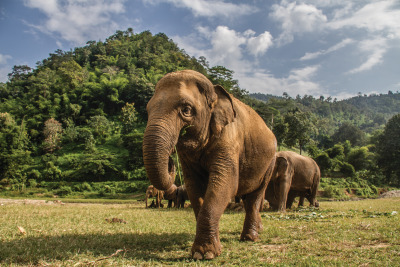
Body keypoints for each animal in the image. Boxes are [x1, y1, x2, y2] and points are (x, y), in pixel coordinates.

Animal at [142, 70, 276, 260]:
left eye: (186, 109)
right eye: (148, 110)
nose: (170, 159)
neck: (214, 91)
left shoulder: (229, 139)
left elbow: (226, 184)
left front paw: (205, 254)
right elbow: (194, 186)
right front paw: (203, 251)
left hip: (270, 163)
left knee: (254, 196)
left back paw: (250, 238)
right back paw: (258, 230)